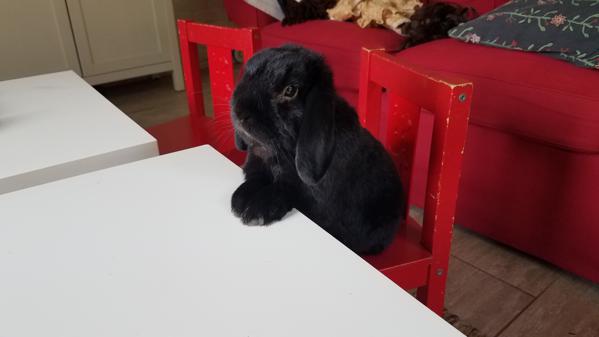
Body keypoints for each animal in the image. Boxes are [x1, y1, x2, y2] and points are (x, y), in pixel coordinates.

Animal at [232, 45, 406, 255]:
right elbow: (256, 179)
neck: (276, 154)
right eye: (248, 74)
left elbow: (285, 190)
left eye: (290, 90)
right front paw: (239, 199)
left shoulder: (306, 196)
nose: (240, 112)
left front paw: (256, 211)